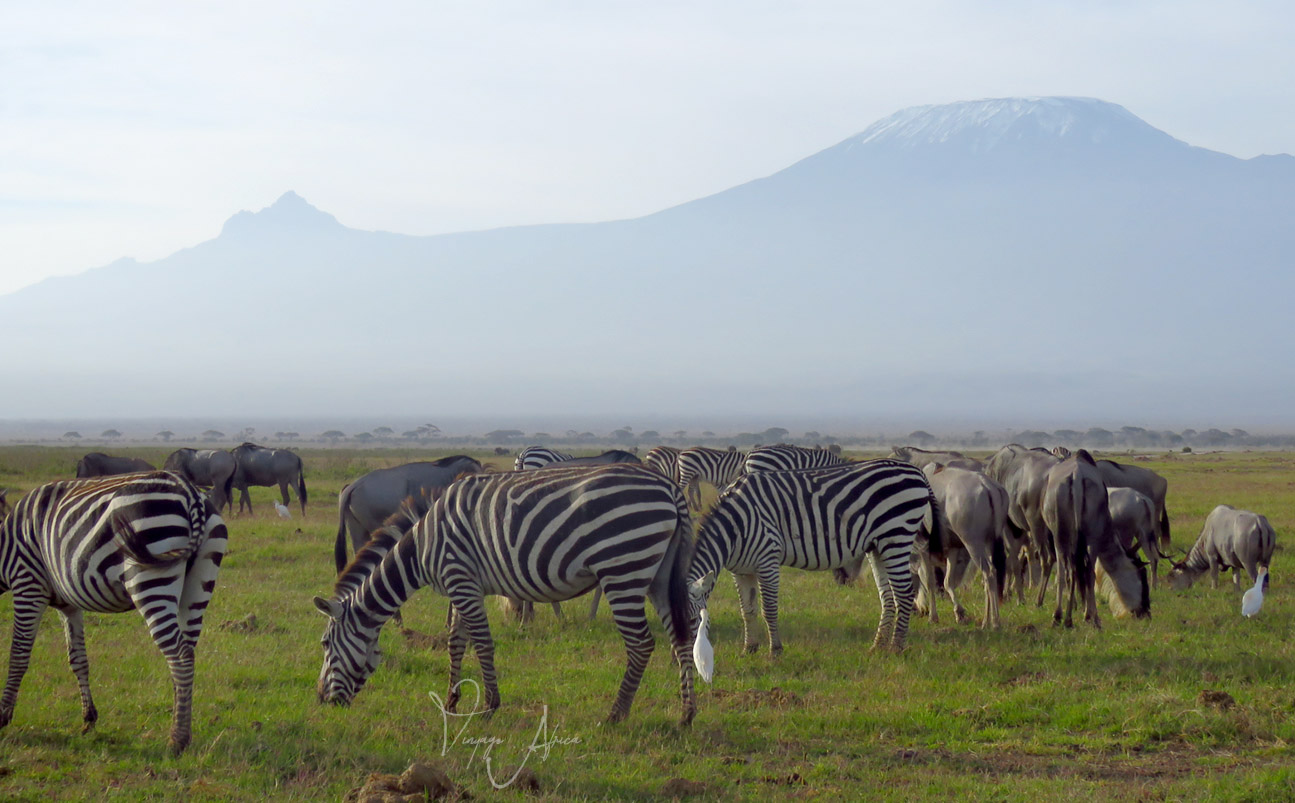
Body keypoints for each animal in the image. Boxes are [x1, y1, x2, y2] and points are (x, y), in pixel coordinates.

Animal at [0, 471, 227, 751]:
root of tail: (190, 492)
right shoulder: (69, 605)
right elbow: (78, 659)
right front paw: (89, 718)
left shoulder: (27, 583)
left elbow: (18, 654)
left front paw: (3, 715)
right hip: (199, 582)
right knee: (188, 652)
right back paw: (181, 723)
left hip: (150, 578)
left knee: (180, 654)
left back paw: (177, 739)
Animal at [314, 461, 699, 725]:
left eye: (325, 644)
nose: (321, 700)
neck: (422, 547)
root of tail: (669, 487)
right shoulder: (462, 585)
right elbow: (456, 642)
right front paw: (451, 702)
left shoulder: (461, 580)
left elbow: (482, 644)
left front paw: (488, 706)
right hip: (658, 575)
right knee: (681, 636)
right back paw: (686, 714)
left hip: (623, 569)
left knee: (641, 644)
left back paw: (616, 714)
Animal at [688, 461, 942, 663]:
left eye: (692, 619)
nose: (689, 659)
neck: (733, 528)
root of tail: (916, 471)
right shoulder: (740, 570)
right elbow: (747, 611)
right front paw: (748, 650)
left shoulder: (768, 560)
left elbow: (768, 610)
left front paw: (775, 652)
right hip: (878, 546)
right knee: (888, 596)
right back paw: (877, 647)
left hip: (897, 535)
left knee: (904, 593)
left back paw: (896, 648)